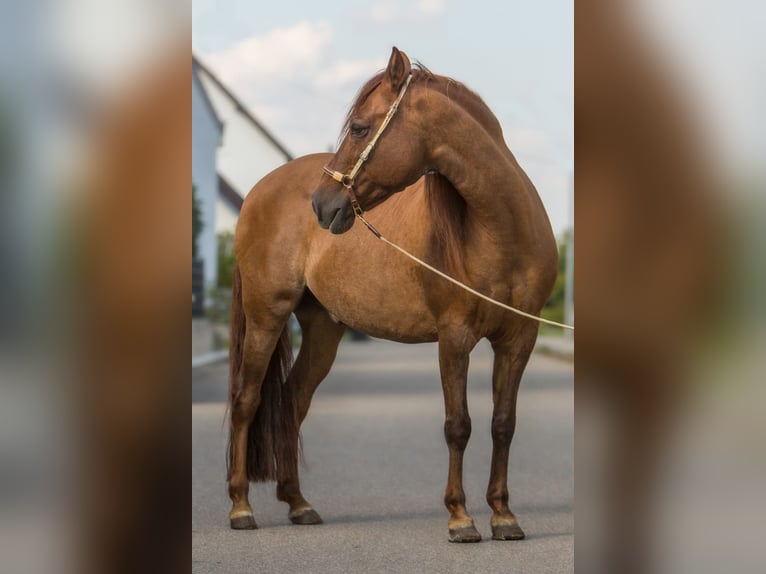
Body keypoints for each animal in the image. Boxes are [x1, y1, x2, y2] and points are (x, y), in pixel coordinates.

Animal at [228, 46, 560, 544]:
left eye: (360, 127)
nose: (322, 204)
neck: (499, 232)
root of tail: (258, 191)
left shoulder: (519, 339)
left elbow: (503, 424)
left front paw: (504, 517)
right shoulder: (454, 338)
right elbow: (458, 425)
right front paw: (460, 518)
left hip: (323, 329)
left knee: (294, 400)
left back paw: (299, 504)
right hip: (266, 315)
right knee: (246, 400)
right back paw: (241, 508)